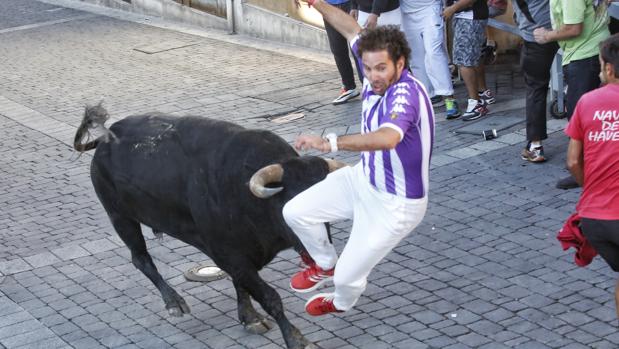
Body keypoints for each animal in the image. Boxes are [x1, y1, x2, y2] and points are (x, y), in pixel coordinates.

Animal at [73, 105, 346, 348]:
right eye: (291, 205)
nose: (321, 254)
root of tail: (106, 139)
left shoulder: (236, 258)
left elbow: (241, 285)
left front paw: (250, 318)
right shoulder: (229, 255)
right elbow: (270, 297)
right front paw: (297, 339)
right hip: (120, 216)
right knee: (141, 259)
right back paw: (174, 303)